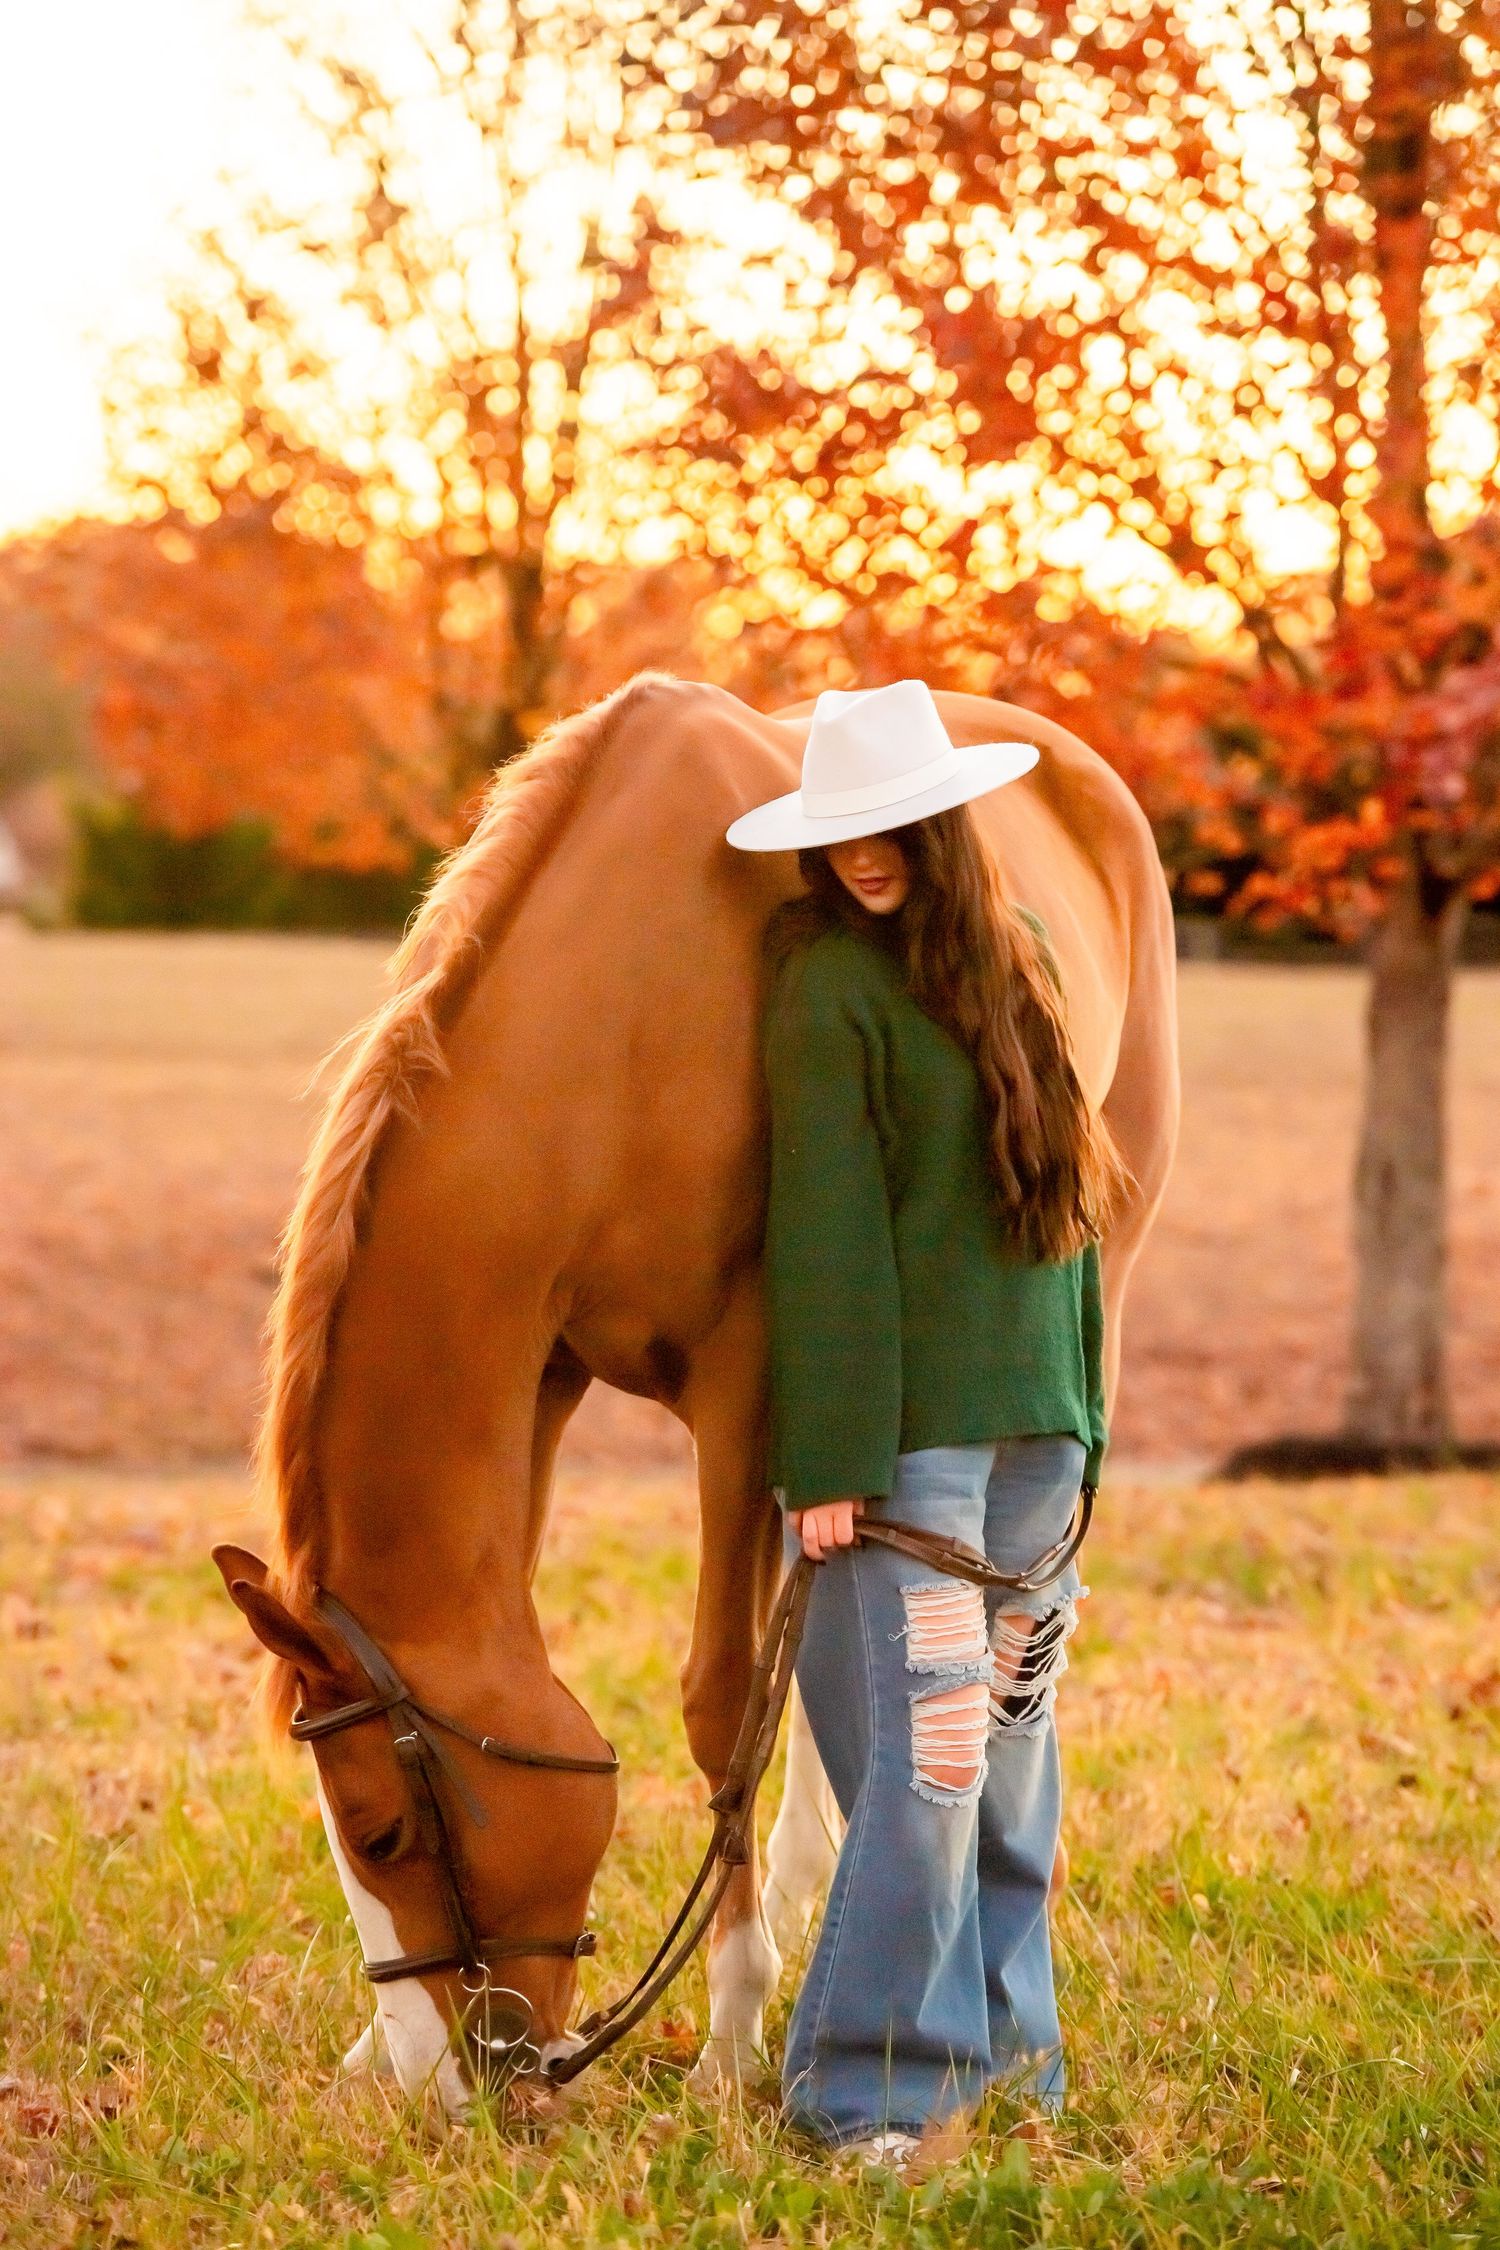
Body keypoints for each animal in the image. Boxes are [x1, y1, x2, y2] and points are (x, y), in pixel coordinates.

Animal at [213, 670, 1178, 2111]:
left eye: (382, 1830)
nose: (444, 2082)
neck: (626, 1001)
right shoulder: (548, 1374)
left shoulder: (749, 1385)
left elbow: (725, 1701)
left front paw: (729, 2033)